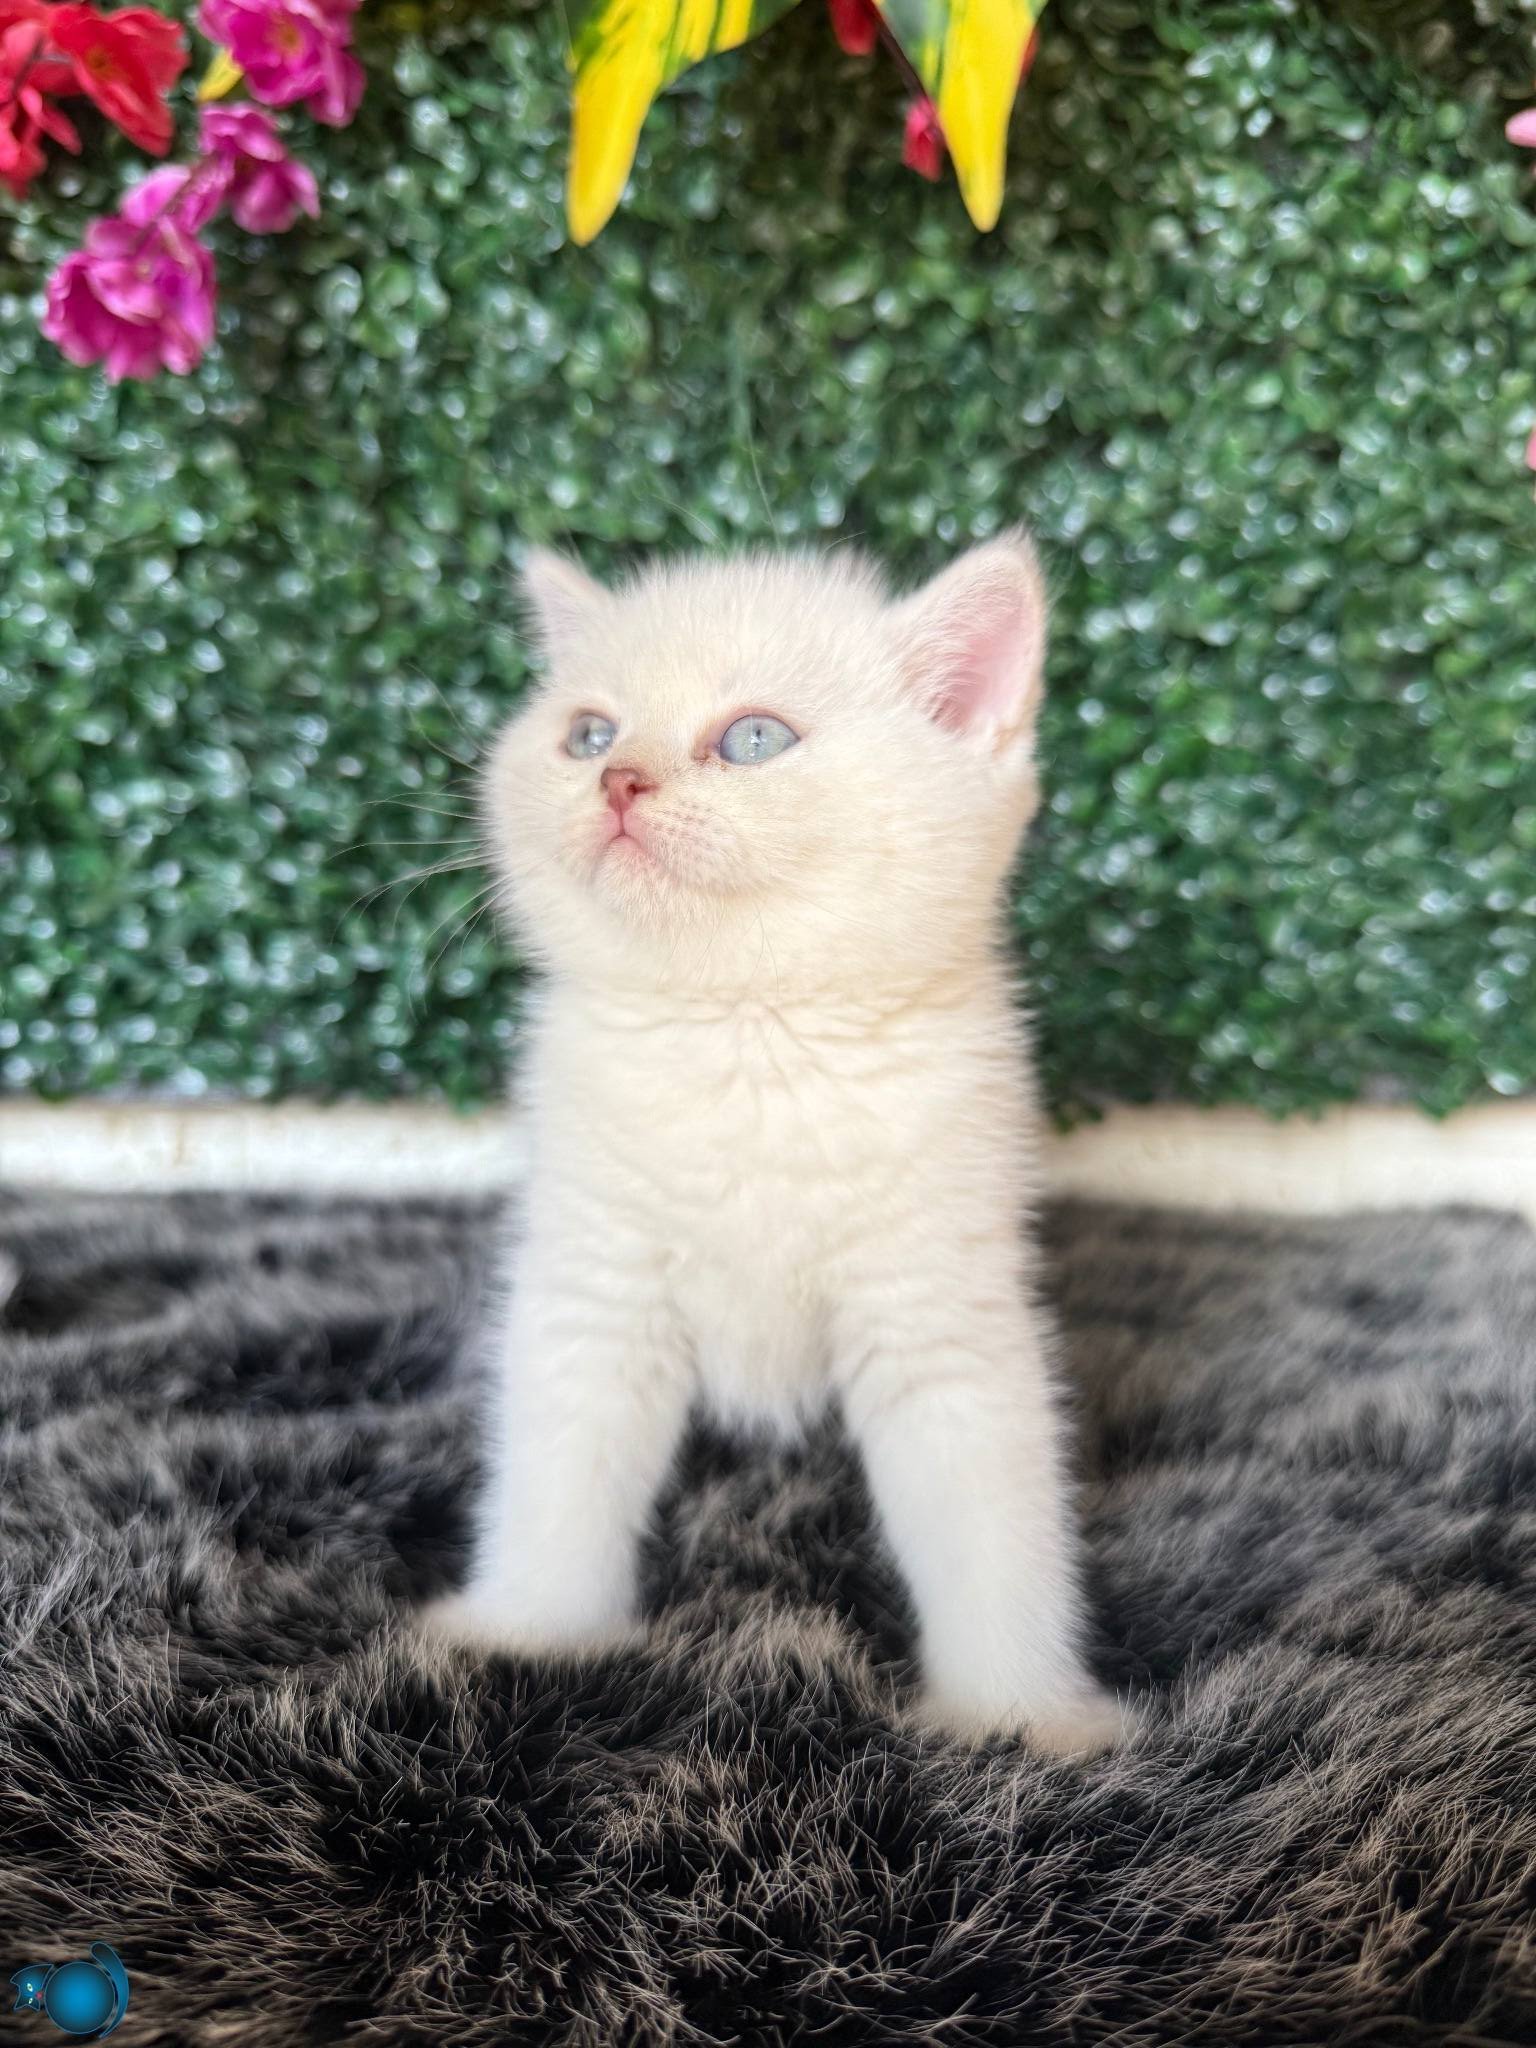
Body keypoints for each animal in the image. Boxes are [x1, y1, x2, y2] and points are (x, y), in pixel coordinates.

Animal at [424, 534, 1129, 1756]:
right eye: (589, 733)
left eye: (755, 738)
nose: (618, 779)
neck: (746, 1037)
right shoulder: (595, 1283)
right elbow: (561, 1460)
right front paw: (529, 1635)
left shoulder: (938, 1304)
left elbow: (986, 1509)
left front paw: (1020, 1717)